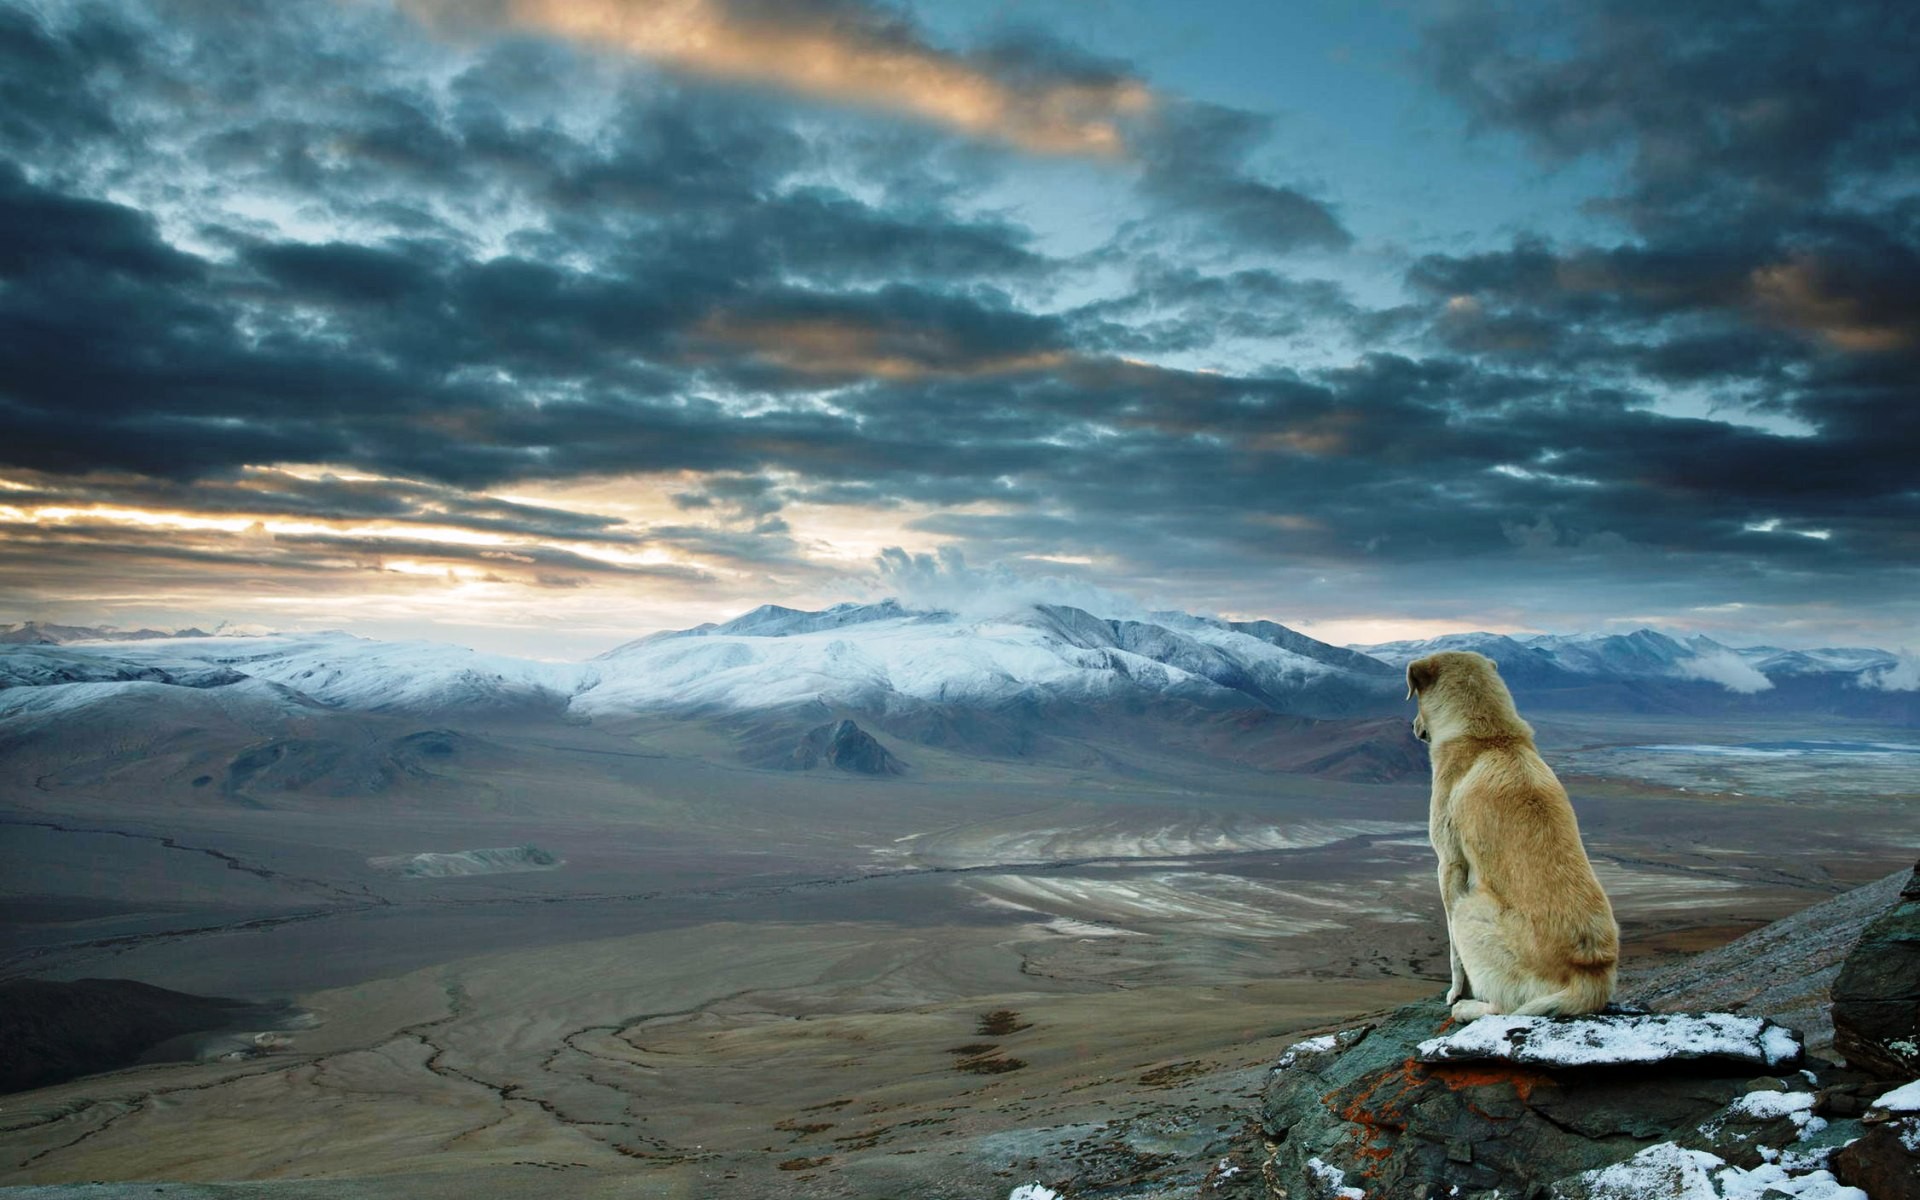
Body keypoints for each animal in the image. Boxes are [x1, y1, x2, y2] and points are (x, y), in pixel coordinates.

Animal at [1413, 648, 1620, 1013]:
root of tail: (1589, 975)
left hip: (1470, 909)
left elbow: (1453, 952)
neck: (1491, 736)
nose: (1413, 727)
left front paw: (1456, 992)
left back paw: (1465, 1008)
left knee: (1502, 1007)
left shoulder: (1449, 864)